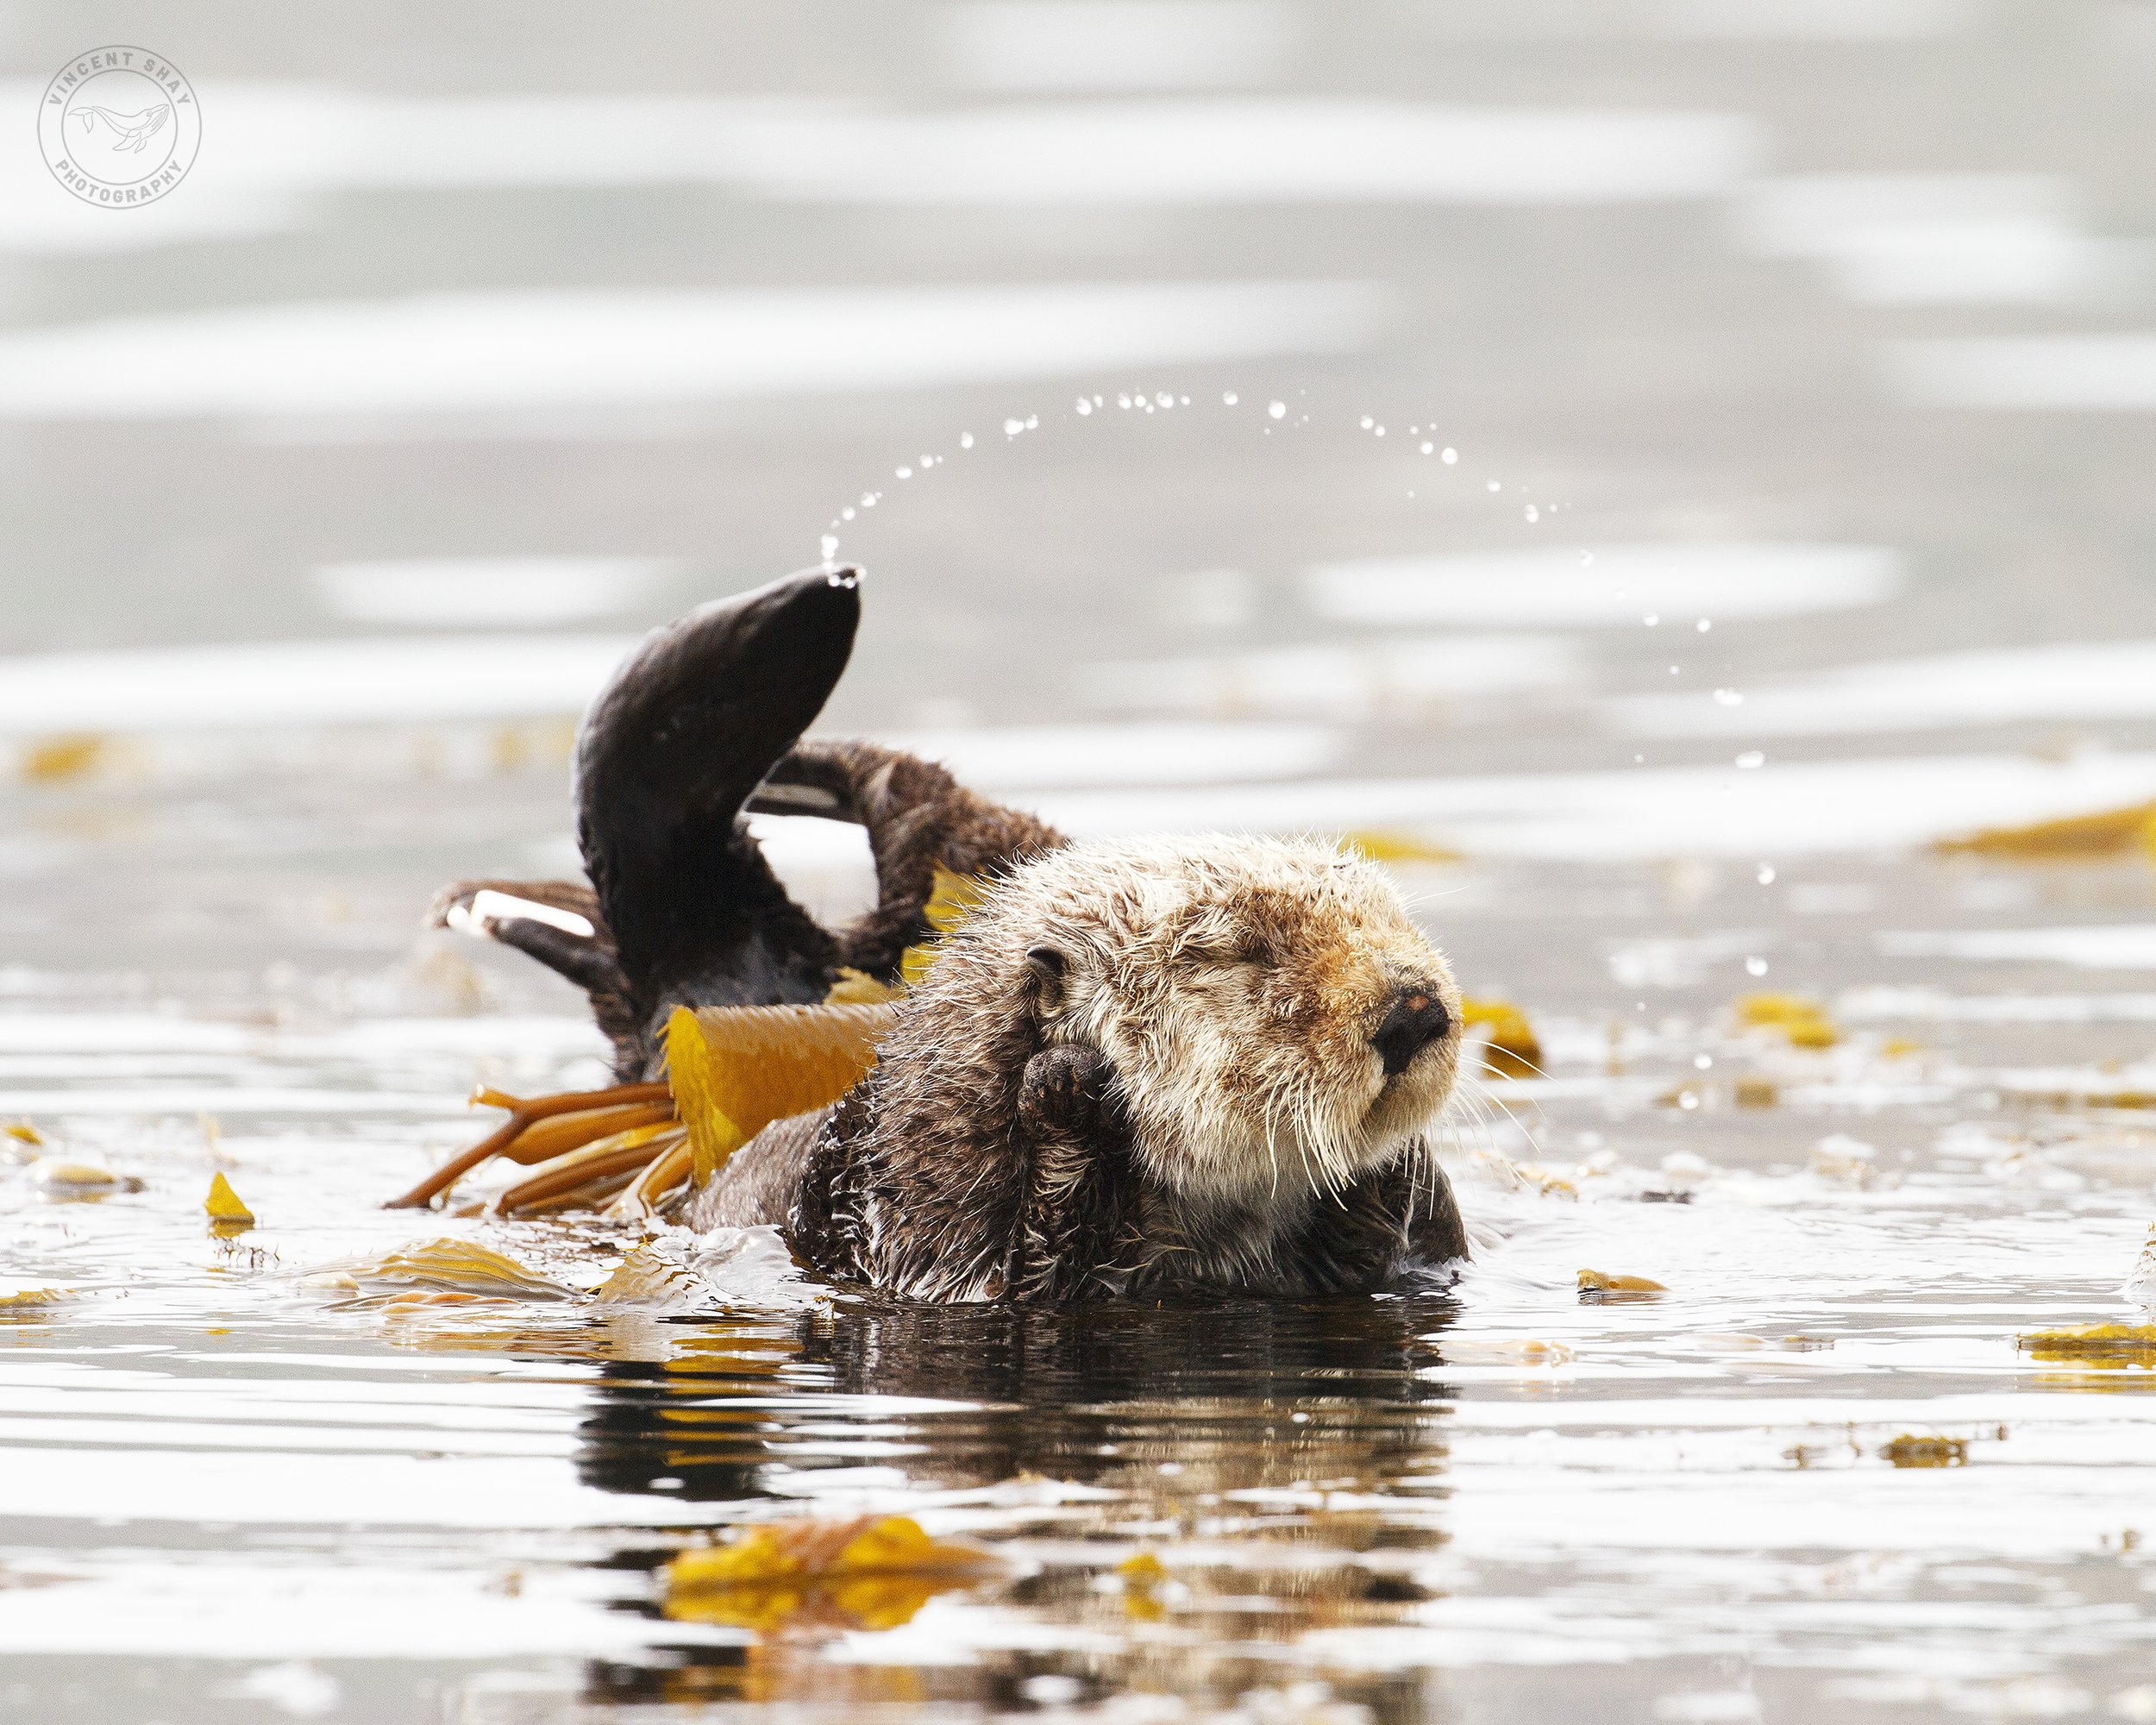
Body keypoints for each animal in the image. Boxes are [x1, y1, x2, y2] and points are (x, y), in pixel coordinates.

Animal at [433, 568, 1468, 1301]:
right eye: (1232, 952)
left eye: (1395, 919)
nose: (1415, 1010)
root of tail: (737, 994)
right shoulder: (939, 1233)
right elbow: (1044, 1267)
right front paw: (1064, 1092)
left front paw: (1390, 1163)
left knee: (930, 825)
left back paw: (825, 770)